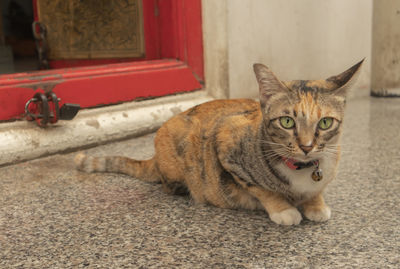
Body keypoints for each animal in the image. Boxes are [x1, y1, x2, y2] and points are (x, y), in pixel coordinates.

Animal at [73, 59, 364, 224]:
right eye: (287, 122)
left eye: (325, 123)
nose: (306, 146)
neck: (301, 170)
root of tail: (154, 158)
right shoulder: (226, 145)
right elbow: (262, 189)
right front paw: (284, 209)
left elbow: (317, 190)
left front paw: (316, 204)